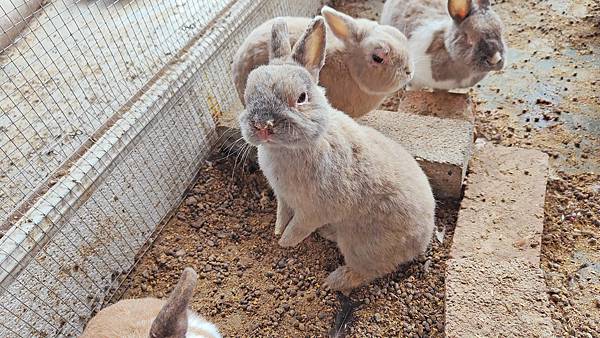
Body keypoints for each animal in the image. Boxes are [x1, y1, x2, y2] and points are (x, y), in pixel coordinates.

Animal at [239, 17, 436, 294]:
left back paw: (333, 280)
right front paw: (278, 231)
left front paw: (285, 243)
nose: (262, 126)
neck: (288, 149)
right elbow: (282, 214)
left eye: (301, 98)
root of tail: (423, 239)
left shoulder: (313, 211)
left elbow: (298, 227)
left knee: (367, 271)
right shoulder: (284, 199)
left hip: (361, 247)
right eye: (247, 97)